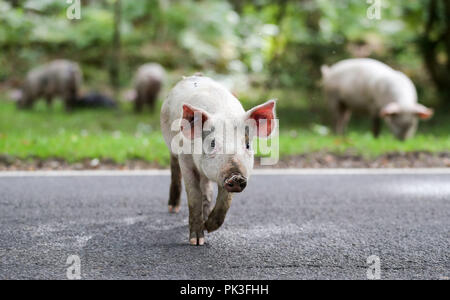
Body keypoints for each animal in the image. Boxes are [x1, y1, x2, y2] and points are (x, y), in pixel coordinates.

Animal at [160, 74, 276, 245]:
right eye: (212, 143)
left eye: (248, 145)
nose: (236, 176)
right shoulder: (185, 159)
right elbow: (193, 195)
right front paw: (196, 241)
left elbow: (224, 201)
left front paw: (209, 227)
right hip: (172, 147)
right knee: (175, 169)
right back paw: (173, 209)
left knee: (206, 189)